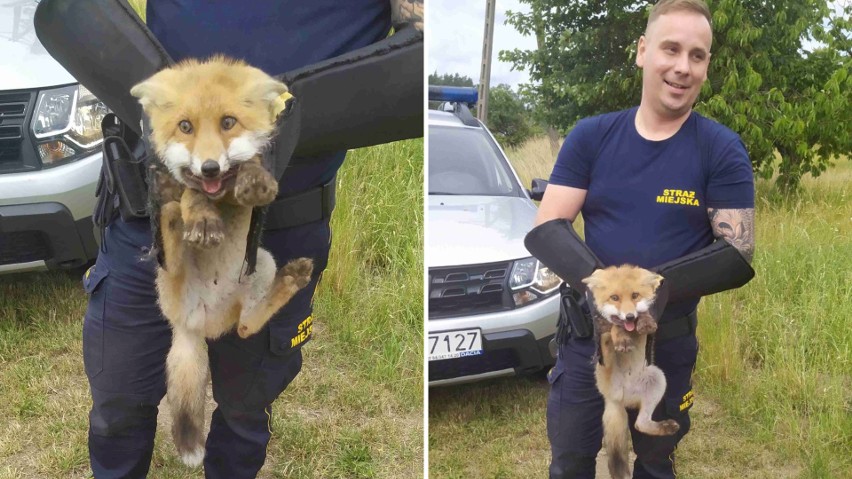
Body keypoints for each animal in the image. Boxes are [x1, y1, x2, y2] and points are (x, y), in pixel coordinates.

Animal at [131, 55, 318, 464]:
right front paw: (200, 215)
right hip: (169, 273)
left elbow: (254, 168)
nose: (210, 168)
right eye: (185, 126)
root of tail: (192, 326)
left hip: (261, 263)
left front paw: (253, 179)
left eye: (228, 122)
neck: (222, 198)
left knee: (248, 326)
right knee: (171, 237)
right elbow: (189, 193)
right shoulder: (185, 184)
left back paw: (292, 279)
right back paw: (174, 217)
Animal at [580, 264, 680, 479]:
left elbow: (646, 317)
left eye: (635, 296)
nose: (629, 317)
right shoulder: (607, 327)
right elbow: (613, 327)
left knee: (640, 424)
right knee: (606, 342)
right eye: (614, 298)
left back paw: (665, 427)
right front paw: (621, 336)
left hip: (657, 378)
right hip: (607, 366)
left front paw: (643, 321)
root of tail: (615, 400)